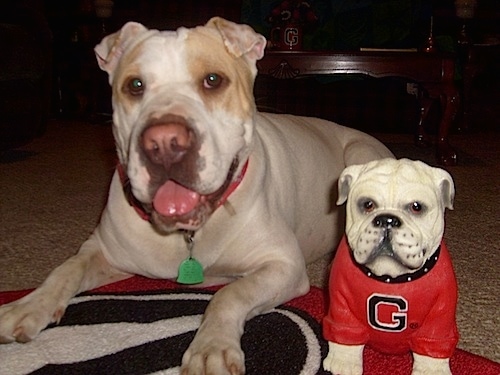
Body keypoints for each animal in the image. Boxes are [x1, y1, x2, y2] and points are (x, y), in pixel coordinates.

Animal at [0, 18, 392, 375]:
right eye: (135, 85)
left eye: (213, 80)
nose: (164, 142)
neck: (188, 233)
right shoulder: (102, 250)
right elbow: (65, 270)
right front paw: (26, 307)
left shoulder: (283, 266)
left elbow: (229, 294)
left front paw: (211, 347)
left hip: (360, 157)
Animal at [322, 157, 458, 374]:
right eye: (368, 204)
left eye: (416, 207)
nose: (387, 219)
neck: (390, 276)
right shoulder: (340, 304)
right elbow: (345, 335)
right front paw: (343, 362)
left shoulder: (440, 314)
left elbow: (432, 344)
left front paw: (431, 370)